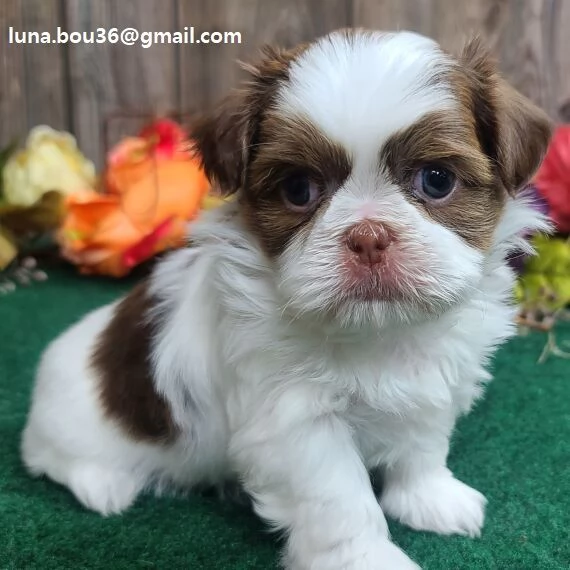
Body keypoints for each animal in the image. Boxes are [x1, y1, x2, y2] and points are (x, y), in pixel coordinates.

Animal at [23, 27, 552, 568]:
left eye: (437, 180)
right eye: (299, 189)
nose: (368, 236)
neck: (378, 333)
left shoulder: (433, 383)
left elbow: (422, 444)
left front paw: (429, 498)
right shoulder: (298, 424)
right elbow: (341, 499)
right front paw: (366, 558)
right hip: (70, 426)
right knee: (53, 461)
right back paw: (104, 484)